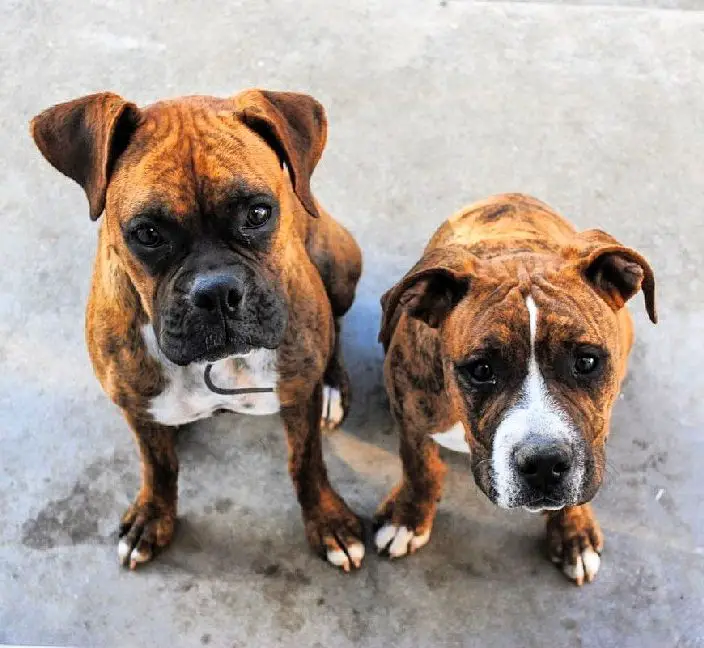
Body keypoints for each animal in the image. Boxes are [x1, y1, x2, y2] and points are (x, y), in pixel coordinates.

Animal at [29, 90, 366, 572]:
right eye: (148, 233)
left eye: (258, 213)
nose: (217, 291)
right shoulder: (135, 404)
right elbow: (157, 467)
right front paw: (153, 516)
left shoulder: (298, 392)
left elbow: (306, 462)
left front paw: (328, 520)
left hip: (335, 262)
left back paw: (334, 386)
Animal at [376, 195, 656, 584]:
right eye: (481, 370)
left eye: (586, 362)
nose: (544, 463)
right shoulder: (409, 413)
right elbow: (420, 466)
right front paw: (408, 517)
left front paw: (572, 532)